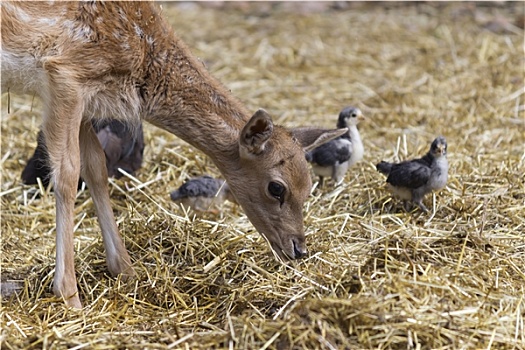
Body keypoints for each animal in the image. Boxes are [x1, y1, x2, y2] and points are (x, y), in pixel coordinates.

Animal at [0, 1, 344, 308]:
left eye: (308, 188)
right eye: (276, 188)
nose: (298, 248)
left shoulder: (87, 97)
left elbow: (96, 168)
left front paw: (126, 270)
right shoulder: (65, 75)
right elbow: (68, 175)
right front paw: (69, 294)